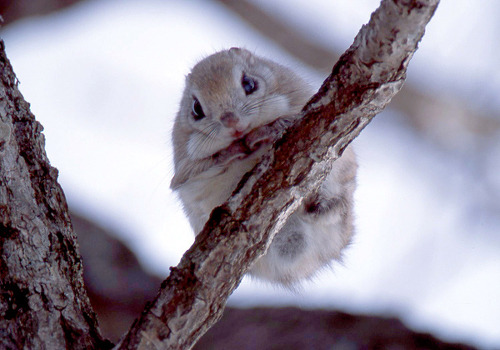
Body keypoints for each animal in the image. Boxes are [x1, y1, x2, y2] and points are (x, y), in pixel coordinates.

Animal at [170, 47, 358, 288]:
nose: (231, 121)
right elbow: (204, 166)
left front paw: (268, 130)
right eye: (196, 109)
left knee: (338, 202)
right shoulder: (184, 170)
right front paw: (235, 148)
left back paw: (323, 205)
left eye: (249, 83)